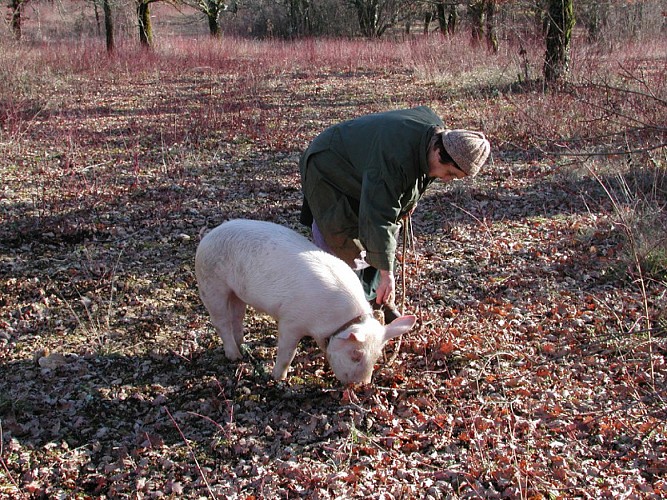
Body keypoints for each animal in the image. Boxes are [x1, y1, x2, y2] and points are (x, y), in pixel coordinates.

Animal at [195, 219, 416, 384]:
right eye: (356, 355)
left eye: (377, 356)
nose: (362, 386)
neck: (335, 319)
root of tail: (208, 236)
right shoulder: (291, 321)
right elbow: (287, 352)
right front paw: (278, 378)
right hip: (210, 283)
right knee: (221, 321)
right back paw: (235, 356)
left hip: (237, 293)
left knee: (237, 317)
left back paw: (244, 347)